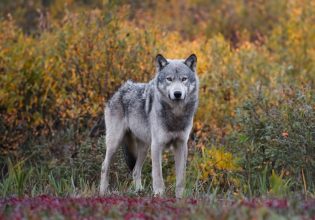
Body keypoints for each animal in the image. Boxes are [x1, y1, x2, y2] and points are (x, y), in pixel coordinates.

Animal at [100, 53, 200, 198]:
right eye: (169, 79)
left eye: (184, 79)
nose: (177, 94)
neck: (176, 114)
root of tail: (120, 90)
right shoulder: (157, 146)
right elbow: (158, 175)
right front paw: (159, 195)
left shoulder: (181, 145)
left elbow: (181, 177)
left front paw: (180, 197)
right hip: (115, 143)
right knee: (104, 166)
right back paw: (103, 192)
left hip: (144, 148)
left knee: (135, 170)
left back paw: (139, 191)